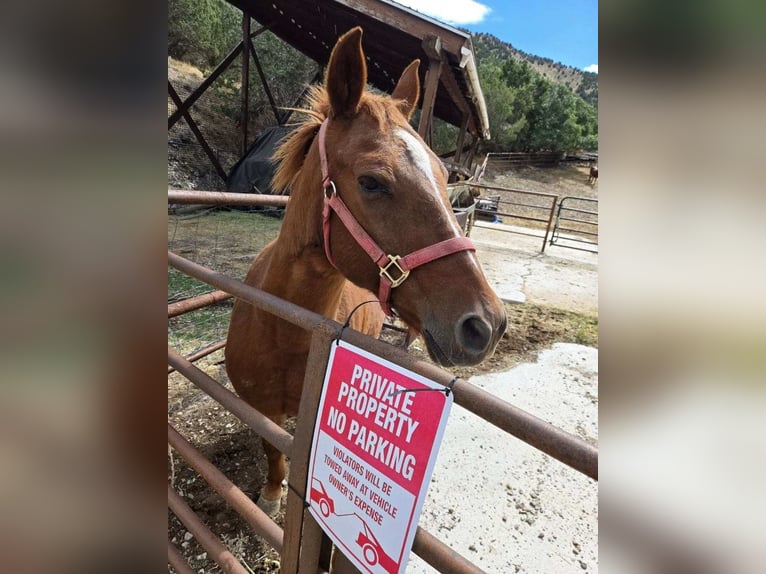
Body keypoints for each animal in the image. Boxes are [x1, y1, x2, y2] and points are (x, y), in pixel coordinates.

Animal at [225, 27, 508, 516]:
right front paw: (272, 492)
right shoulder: (259, 407)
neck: (282, 328)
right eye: (372, 182)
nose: (486, 324)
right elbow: (272, 448)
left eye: (443, 174)